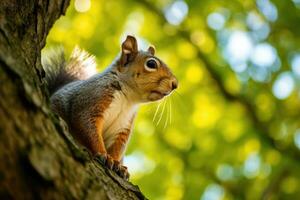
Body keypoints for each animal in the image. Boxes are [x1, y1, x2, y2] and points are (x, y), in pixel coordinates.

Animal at [43, 35, 177, 180]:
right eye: (151, 64)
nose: (175, 84)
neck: (127, 98)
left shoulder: (123, 125)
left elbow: (117, 146)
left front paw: (118, 164)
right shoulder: (91, 99)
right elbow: (87, 126)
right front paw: (104, 155)